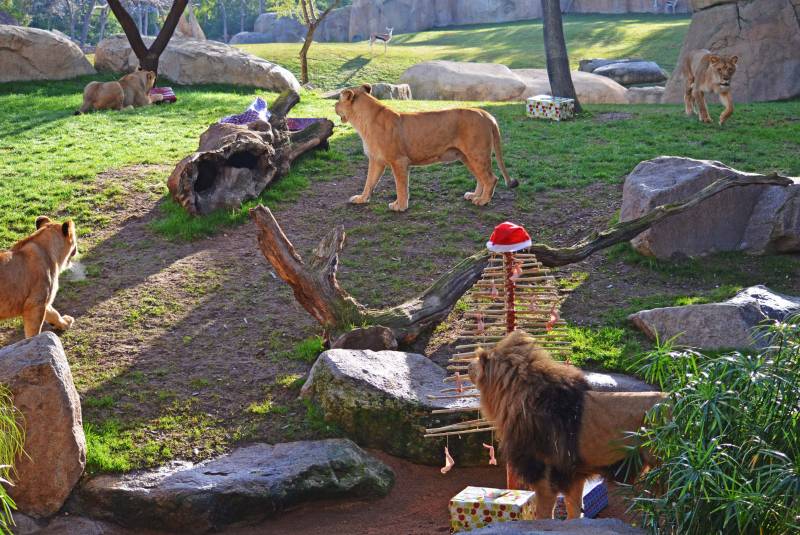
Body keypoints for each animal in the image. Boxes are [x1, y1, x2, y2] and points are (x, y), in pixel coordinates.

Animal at [332, 84, 516, 211]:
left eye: (339, 99)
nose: (333, 106)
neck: (361, 122)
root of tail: (486, 114)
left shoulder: (399, 161)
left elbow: (401, 186)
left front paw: (400, 206)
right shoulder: (376, 160)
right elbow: (369, 182)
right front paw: (362, 199)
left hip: (477, 154)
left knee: (491, 178)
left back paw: (483, 201)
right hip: (467, 157)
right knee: (481, 178)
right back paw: (474, 196)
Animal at [468, 330, 664, 520]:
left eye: (481, 358)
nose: (468, 365)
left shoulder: (545, 473)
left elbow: (543, 514)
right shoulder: (574, 474)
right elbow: (574, 510)